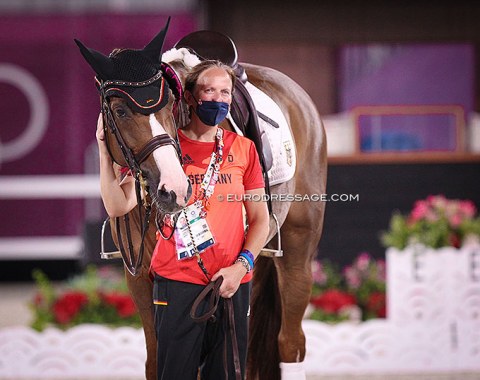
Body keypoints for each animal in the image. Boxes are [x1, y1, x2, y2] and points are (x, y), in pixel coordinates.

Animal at [77, 23, 328, 380]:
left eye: (169, 103)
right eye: (120, 111)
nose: (173, 188)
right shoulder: (140, 279)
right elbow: (157, 360)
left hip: (298, 249)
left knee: (290, 343)